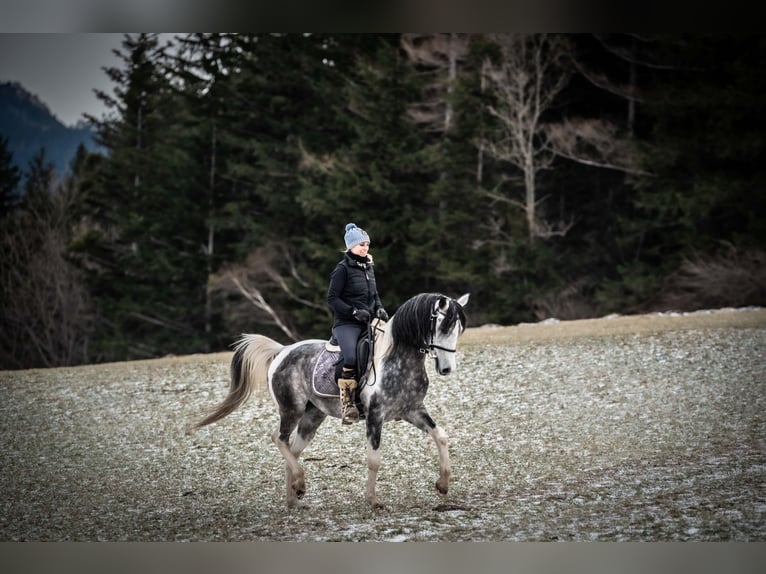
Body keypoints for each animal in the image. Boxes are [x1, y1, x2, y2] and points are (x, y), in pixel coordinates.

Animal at [194, 292, 469, 509]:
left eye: (458, 330)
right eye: (442, 326)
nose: (447, 369)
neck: (397, 359)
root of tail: (282, 351)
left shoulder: (414, 411)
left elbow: (441, 436)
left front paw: (443, 485)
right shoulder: (375, 416)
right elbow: (374, 460)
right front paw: (373, 500)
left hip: (312, 416)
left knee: (292, 450)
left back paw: (293, 498)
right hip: (291, 409)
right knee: (279, 439)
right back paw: (300, 485)